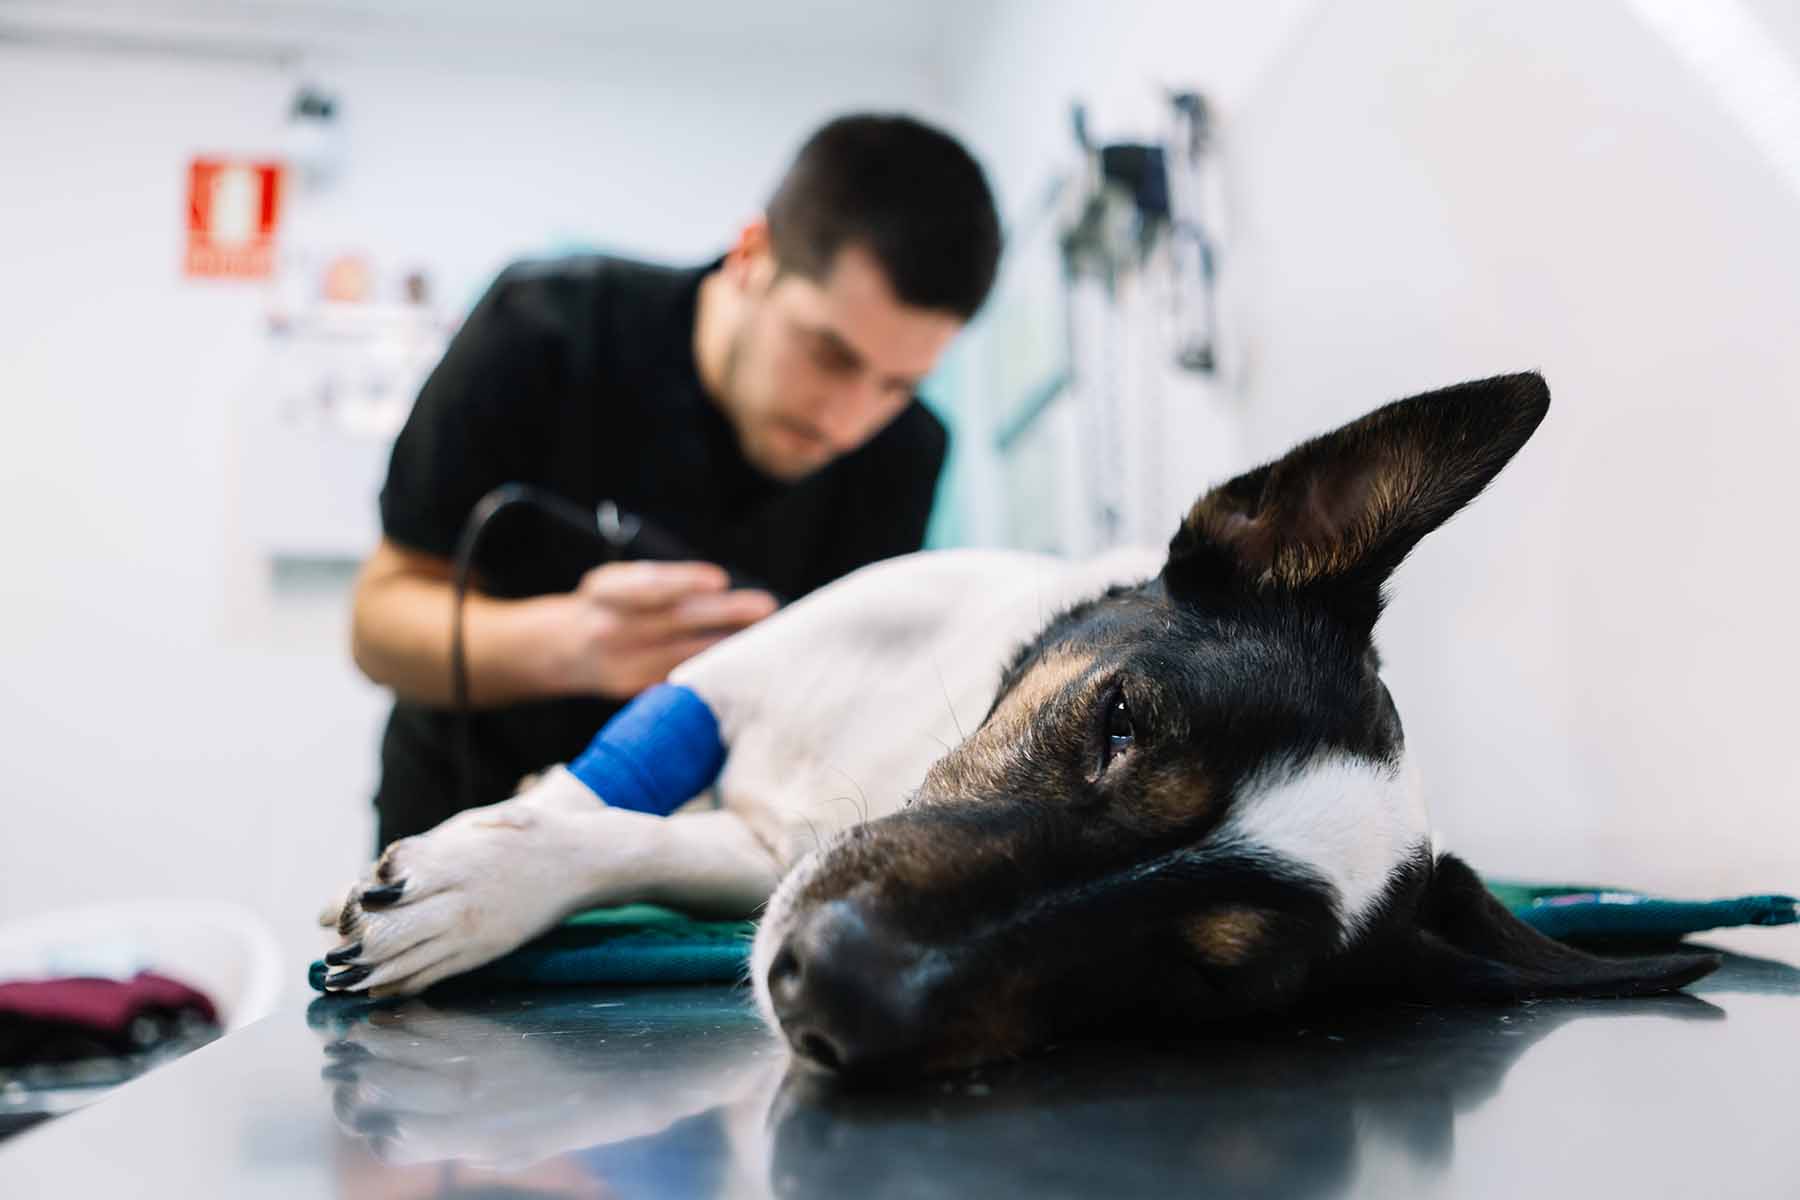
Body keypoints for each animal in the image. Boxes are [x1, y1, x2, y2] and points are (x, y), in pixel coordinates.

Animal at [331, 372, 1720, 1079]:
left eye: (1210, 979)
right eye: (1118, 719)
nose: (822, 990)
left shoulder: (777, 853)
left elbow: (646, 840)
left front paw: (480, 882)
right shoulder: (731, 666)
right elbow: (603, 791)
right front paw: (474, 868)